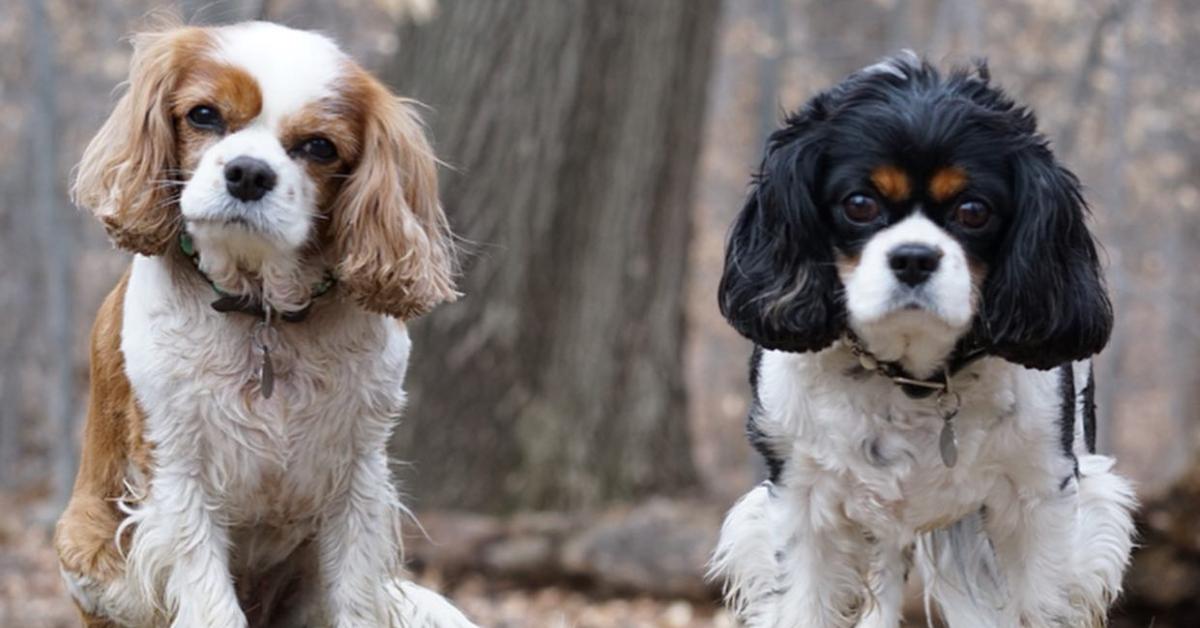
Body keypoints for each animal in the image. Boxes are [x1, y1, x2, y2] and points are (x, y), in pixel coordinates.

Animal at [52, 20, 472, 628]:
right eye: (204, 115)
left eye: (319, 147)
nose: (249, 172)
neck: (263, 312)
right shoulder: (178, 475)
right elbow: (212, 604)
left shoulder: (359, 481)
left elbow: (357, 600)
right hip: (86, 547)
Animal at [705, 54, 1137, 628]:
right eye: (859, 204)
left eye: (973, 211)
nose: (914, 257)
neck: (912, 378)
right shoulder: (804, 501)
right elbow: (802, 602)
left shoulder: (1040, 499)